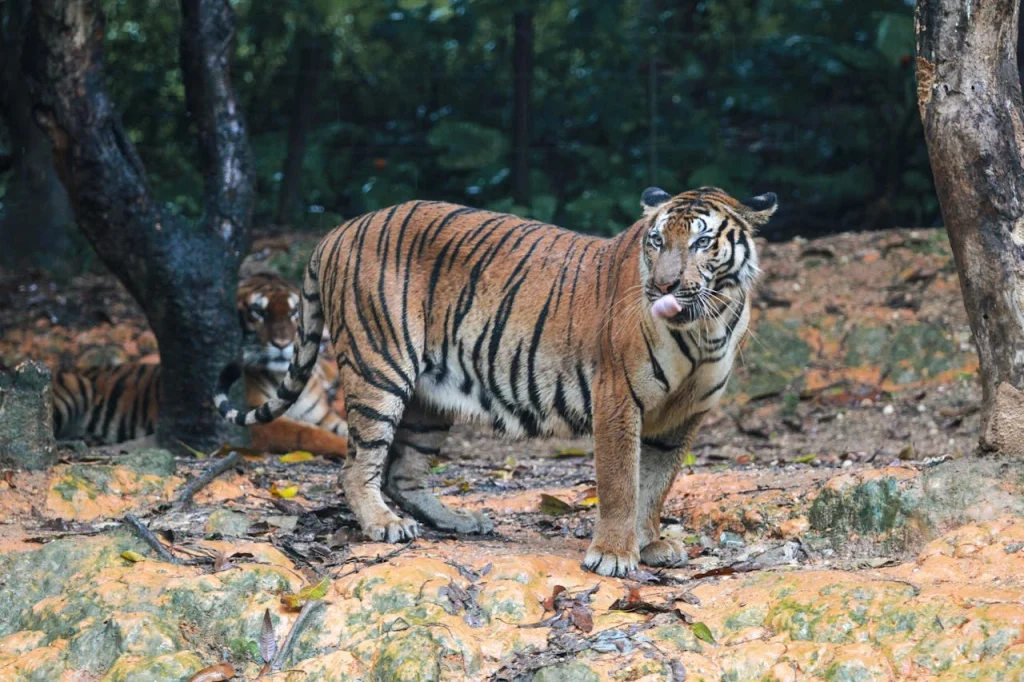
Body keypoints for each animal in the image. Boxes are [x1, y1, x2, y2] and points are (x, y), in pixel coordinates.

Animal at [53, 273, 350, 456]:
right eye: (259, 312)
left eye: (294, 312)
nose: (282, 343)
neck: (285, 377)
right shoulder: (257, 421)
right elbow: (308, 435)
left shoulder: (324, 417)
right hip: (72, 392)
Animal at [215, 187, 777, 576]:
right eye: (657, 240)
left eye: (701, 241)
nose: (663, 286)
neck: (705, 327)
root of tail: (339, 230)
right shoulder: (618, 400)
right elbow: (622, 483)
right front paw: (615, 554)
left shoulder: (682, 418)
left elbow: (656, 486)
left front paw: (650, 543)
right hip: (380, 370)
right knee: (357, 466)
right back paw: (383, 525)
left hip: (429, 400)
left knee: (404, 473)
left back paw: (459, 522)